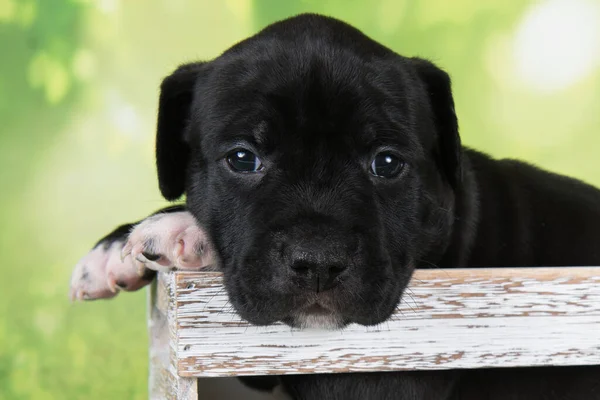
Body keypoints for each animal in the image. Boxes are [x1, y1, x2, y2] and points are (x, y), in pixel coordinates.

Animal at [71, 13, 600, 400]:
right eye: (242, 158)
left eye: (387, 163)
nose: (319, 262)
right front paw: (118, 246)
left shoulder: (380, 369)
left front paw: (182, 231)